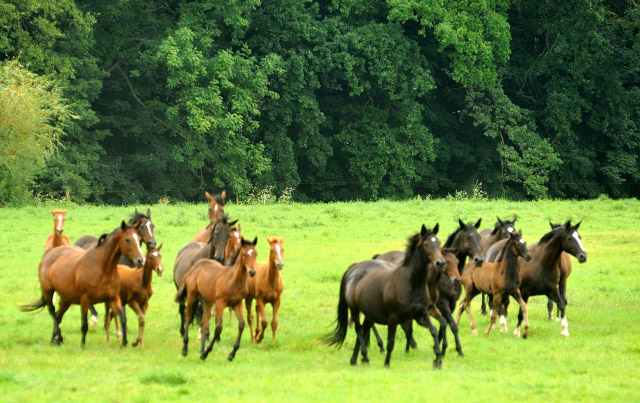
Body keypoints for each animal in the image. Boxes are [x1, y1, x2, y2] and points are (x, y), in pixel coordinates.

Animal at [322, 224, 448, 370]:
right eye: (426, 244)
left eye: (439, 243)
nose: (441, 263)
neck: (411, 284)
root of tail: (353, 269)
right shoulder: (393, 318)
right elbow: (391, 342)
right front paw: (386, 364)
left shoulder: (421, 315)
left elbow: (434, 330)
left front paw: (437, 360)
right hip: (354, 309)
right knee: (359, 330)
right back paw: (364, 356)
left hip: (369, 314)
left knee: (364, 330)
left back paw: (355, 360)